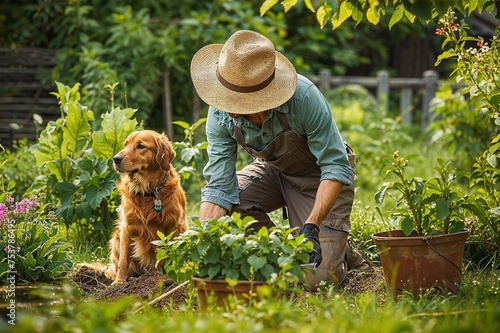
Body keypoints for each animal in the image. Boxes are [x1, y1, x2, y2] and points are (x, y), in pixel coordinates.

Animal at [105, 130, 188, 282]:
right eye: (125, 144)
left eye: (140, 146)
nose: (116, 159)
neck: (147, 192)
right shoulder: (127, 227)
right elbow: (123, 260)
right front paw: (119, 282)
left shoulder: (172, 226)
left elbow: (159, 257)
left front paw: (156, 278)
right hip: (116, 238)